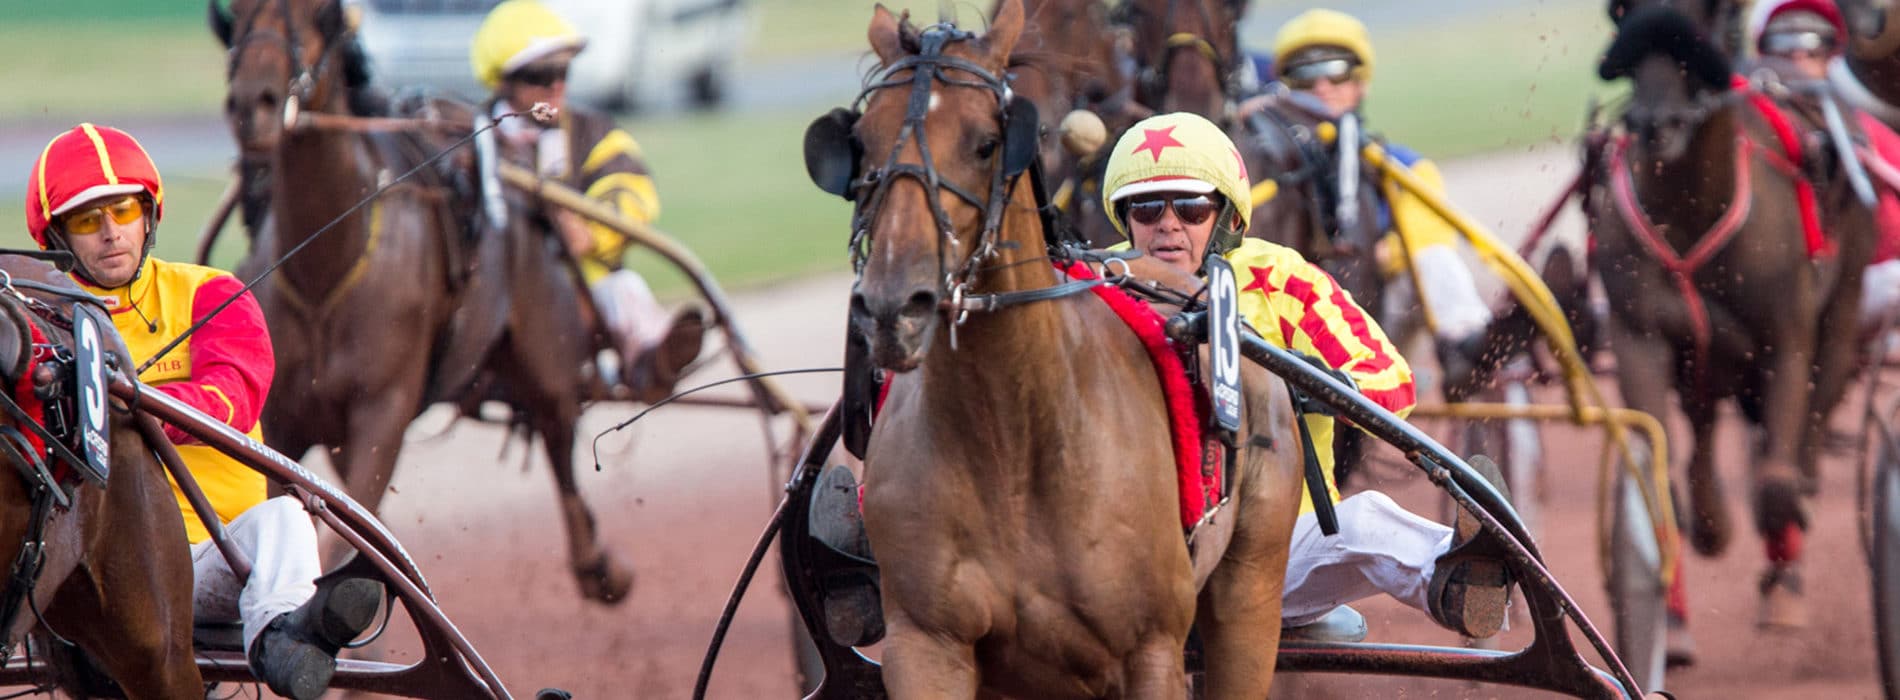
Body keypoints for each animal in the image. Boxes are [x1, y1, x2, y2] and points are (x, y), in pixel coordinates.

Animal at [212, 0, 634, 601]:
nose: (255, 103)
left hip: (545, 346)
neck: (326, 268)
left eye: (318, 12)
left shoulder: (382, 411)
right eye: (238, 10)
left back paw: (599, 566)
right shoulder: (282, 419)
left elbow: (339, 539)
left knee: (559, 430)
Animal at [836, 4, 1299, 696]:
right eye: (862, 141)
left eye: (986, 142)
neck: (1012, 440)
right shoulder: (927, 644)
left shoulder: (1151, 649)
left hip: (1251, 591)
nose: (894, 305)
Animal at [1588, 0, 1869, 623]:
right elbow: (1660, 479)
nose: (1655, 123)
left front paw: (1784, 564)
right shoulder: (1639, 333)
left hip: (1844, 307)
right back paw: (1714, 519)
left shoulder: (1785, 340)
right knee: (1704, 424)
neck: (1692, 206)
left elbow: (1776, 488)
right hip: (1706, 358)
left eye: (1706, 21)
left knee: (1813, 413)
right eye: (1624, 18)